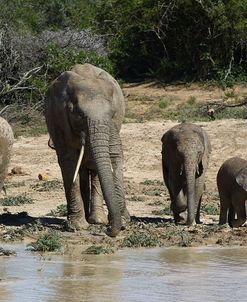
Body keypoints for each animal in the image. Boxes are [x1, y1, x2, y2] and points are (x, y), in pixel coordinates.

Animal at [44, 63, 130, 237]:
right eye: (78, 115)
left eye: (112, 113)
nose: (109, 230)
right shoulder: (59, 118)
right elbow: (69, 161)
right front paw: (77, 227)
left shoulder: (113, 124)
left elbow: (111, 156)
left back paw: (97, 220)